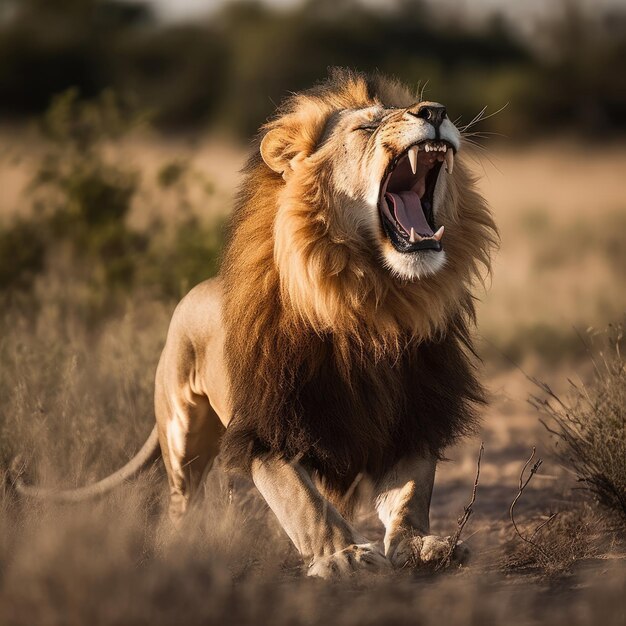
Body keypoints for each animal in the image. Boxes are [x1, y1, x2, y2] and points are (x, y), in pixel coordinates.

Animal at [9, 68, 494, 576]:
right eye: (365, 127)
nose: (435, 111)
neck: (370, 303)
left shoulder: (414, 411)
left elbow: (411, 492)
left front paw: (422, 546)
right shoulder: (271, 427)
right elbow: (305, 502)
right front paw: (342, 556)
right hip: (182, 432)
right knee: (180, 501)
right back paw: (180, 547)